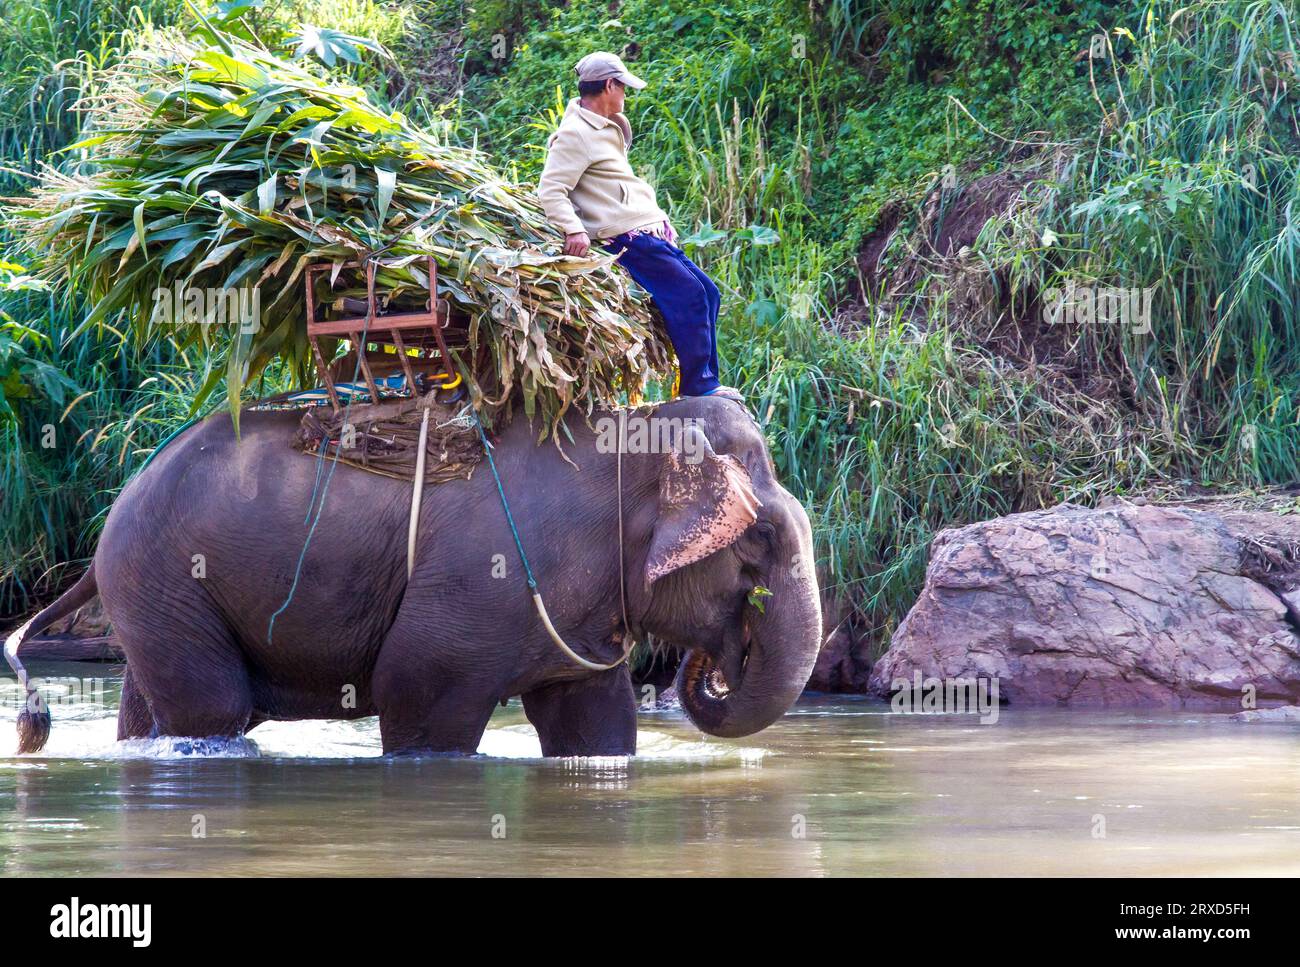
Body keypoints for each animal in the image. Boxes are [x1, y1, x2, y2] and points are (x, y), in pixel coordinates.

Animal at [5, 392, 821, 753]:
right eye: (760, 542)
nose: (706, 668)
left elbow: (593, 721)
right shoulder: (479, 589)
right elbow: (420, 697)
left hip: (155, 593)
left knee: (151, 710)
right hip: (163, 577)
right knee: (212, 710)